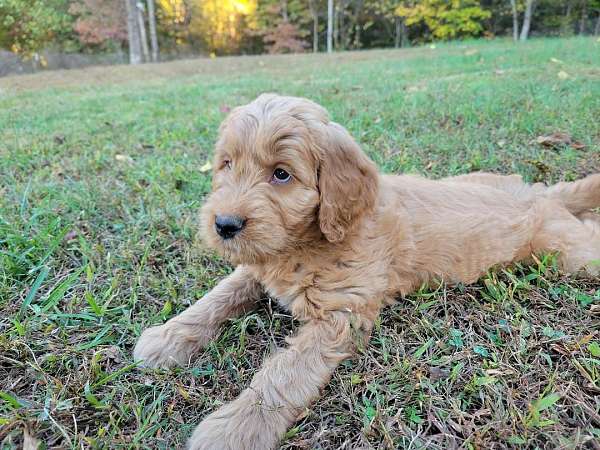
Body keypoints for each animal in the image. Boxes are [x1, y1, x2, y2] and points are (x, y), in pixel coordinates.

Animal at [134, 93, 600, 448]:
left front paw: (236, 428)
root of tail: (541, 194)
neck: (304, 242)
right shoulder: (258, 266)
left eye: (281, 174)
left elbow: (284, 374)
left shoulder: (339, 316)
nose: (224, 225)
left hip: (569, 253)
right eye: (227, 164)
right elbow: (217, 297)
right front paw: (167, 338)